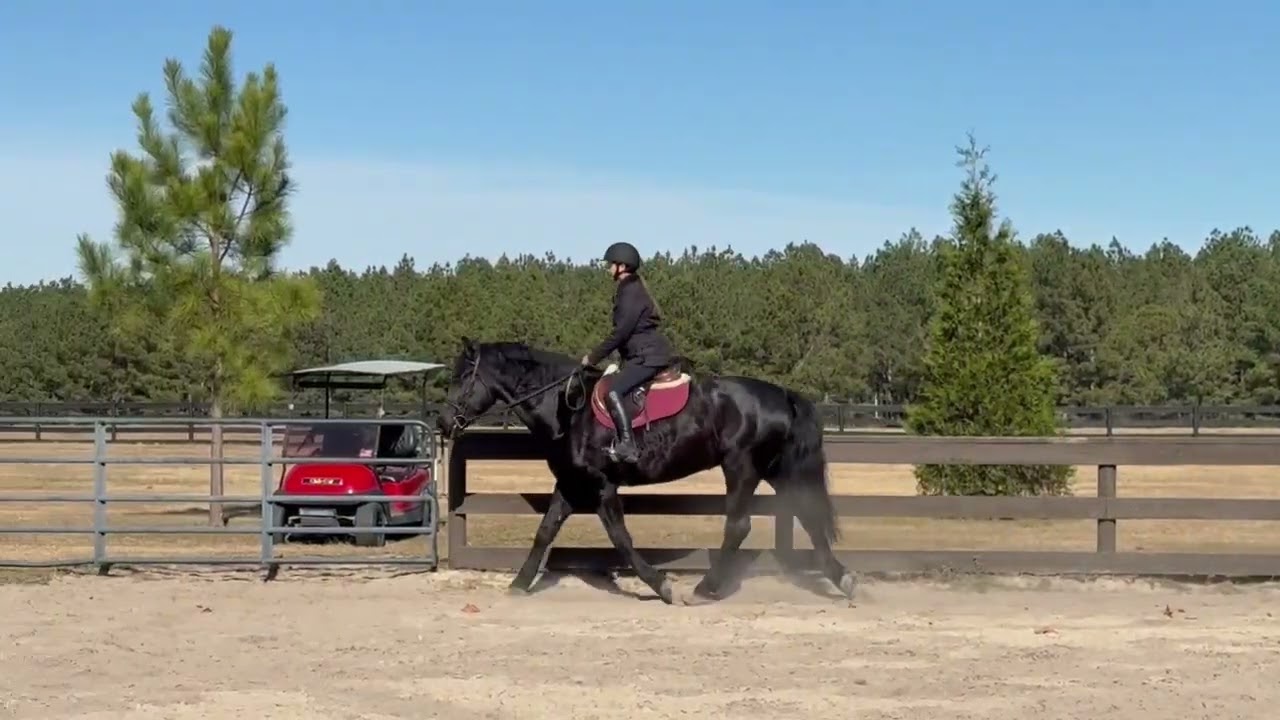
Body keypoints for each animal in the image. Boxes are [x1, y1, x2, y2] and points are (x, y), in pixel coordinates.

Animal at [437, 337, 856, 605]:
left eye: (462, 378)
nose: (442, 422)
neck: (569, 409)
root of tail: (781, 394)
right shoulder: (572, 483)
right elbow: (545, 532)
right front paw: (520, 583)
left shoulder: (601, 486)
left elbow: (620, 538)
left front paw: (661, 586)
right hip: (776, 470)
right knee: (808, 516)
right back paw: (843, 579)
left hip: (741, 467)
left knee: (739, 526)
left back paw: (705, 589)